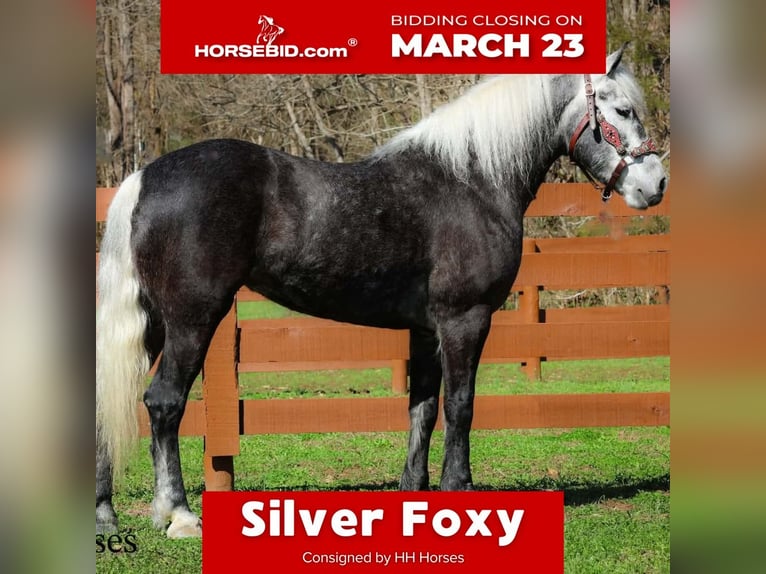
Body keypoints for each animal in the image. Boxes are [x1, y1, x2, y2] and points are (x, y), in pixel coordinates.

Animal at [96, 47, 667, 538]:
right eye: (621, 109)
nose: (655, 184)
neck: (472, 179)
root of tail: (143, 178)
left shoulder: (426, 330)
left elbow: (423, 410)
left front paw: (415, 495)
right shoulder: (465, 319)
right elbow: (461, 405)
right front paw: (459, 490)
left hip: (154, 320)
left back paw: (106, 514)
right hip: (192, 318)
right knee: (164, 402)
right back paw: (177, 515)